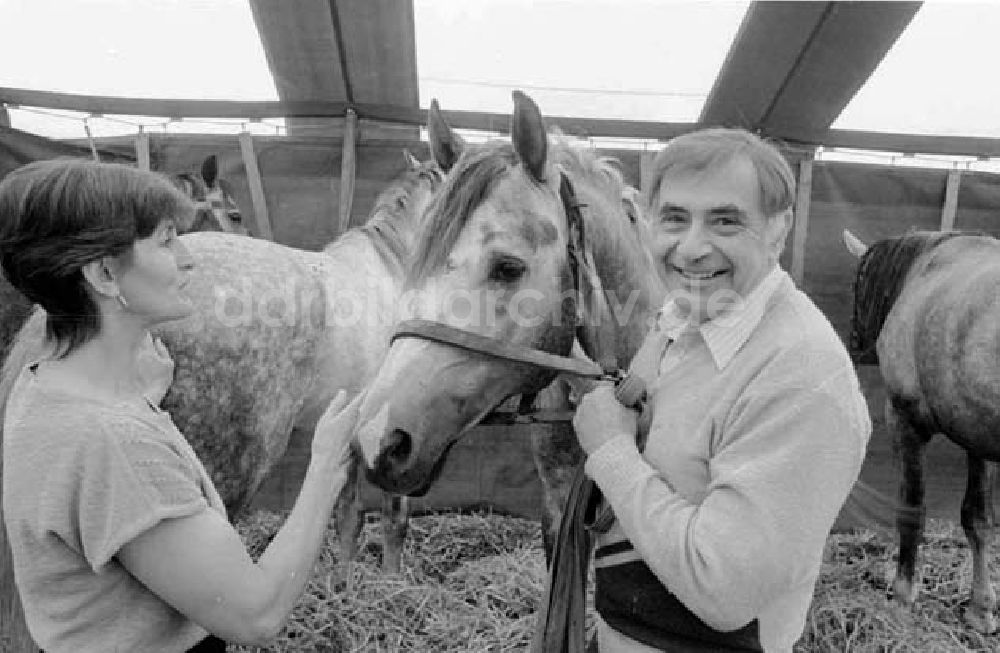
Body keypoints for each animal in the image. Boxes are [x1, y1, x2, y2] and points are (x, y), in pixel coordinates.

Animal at [844, 228, 1000, 632]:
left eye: (858, 283)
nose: (854, 342)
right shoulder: (975, 434)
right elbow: (977, 518)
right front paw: (980, 608)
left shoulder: (905, 420)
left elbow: (912, 508)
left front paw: (902, 594)